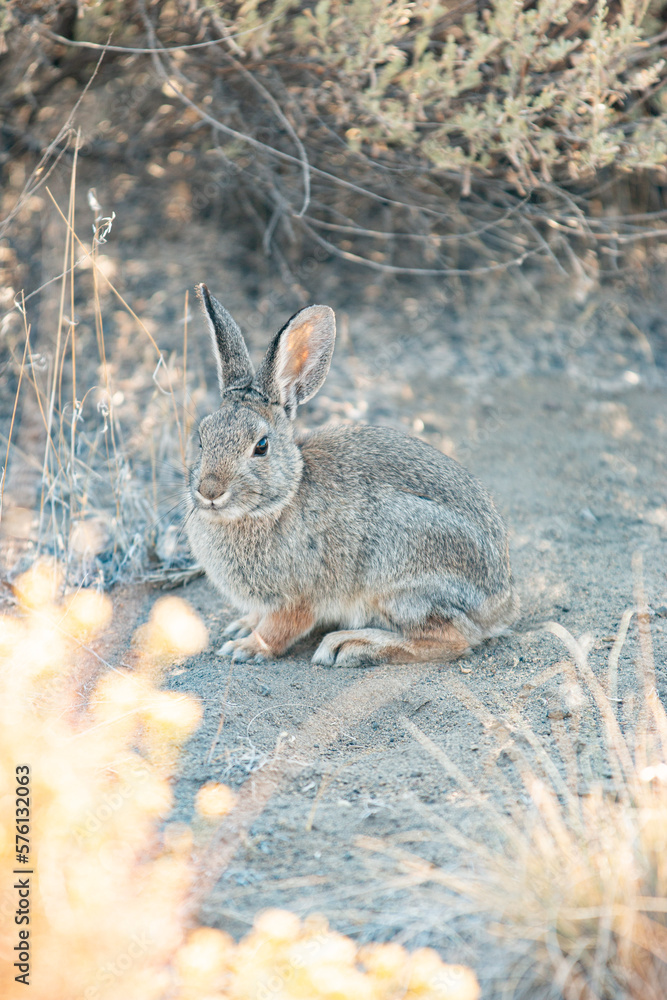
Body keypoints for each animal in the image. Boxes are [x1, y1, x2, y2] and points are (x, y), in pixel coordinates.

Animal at [185, 284, 519, 667]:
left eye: (261, 446)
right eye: (201, 439)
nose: (210, 491)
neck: (280, 499)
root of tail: (501, 604)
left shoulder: (298, 597)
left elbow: (279, 629)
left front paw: (245, 647)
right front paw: (241, 626)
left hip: (399, 576)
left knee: (453, 640)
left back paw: (350, 645)